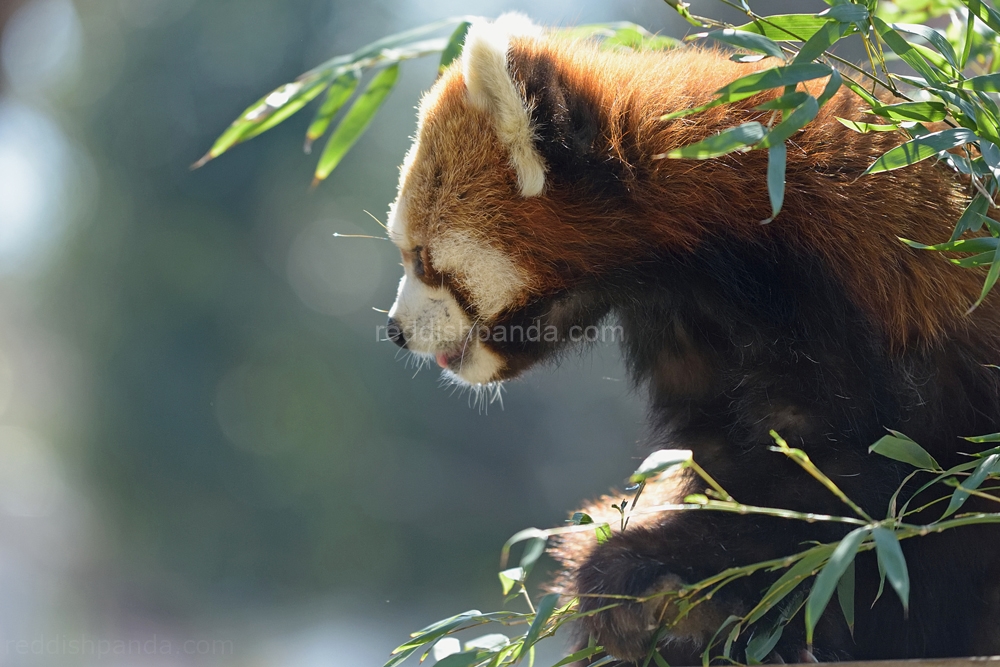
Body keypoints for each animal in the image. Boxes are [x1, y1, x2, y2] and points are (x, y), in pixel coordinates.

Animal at [386, 11, 1000, 667]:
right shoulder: (688, 327)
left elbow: (846, 487)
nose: (395, 331)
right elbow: (724, 459)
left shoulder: (843, 304)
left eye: (421, 258)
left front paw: (655, 570)